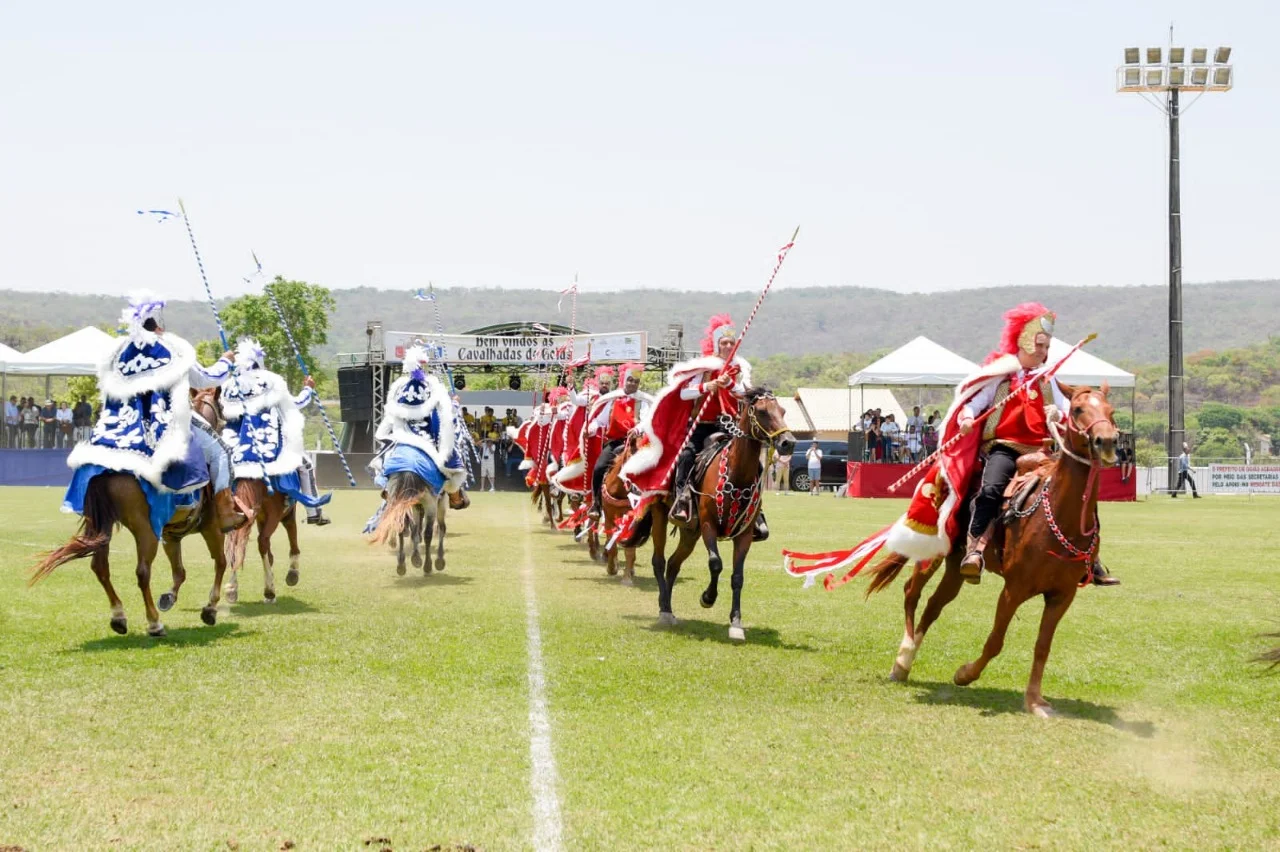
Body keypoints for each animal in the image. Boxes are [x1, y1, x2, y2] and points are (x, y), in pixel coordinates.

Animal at [28, 388, 230, 634]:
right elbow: (220, 562)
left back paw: (119, 616)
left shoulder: (172, 533)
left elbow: (180, 570)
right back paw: (154, 623)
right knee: (142, 572)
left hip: (102, 523)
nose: (225, 424)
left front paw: (170, 597)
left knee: (100, 566)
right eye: (221, 405)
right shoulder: (210, 527)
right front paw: (210, 608)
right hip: (145, 529)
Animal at [645, 388, 793, 639]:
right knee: (659, 561)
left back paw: (668, 609)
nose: (788, 443)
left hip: (690, 533)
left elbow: (737, 577)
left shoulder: (744, 535)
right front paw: (707, 598)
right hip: (660, 516)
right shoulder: (708, 526)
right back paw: (664, 612)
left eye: (782, 411)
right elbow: (716, 563)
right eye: (762, 412)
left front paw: (736, 623)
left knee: (673, 564)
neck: (736, 473)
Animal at [860, 381, 1121, 711]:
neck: (1060, 514)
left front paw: (1035, 701)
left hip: (956, 568)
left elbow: (1043, 646)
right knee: (911, 592)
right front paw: (964, 674)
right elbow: (996, 640)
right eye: (1077, 409)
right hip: (931, 551)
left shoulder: (1062, 595)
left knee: (934, 605)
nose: (1107, 441)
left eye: (1111, 411)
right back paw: (903, 659)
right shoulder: (1014, 589)